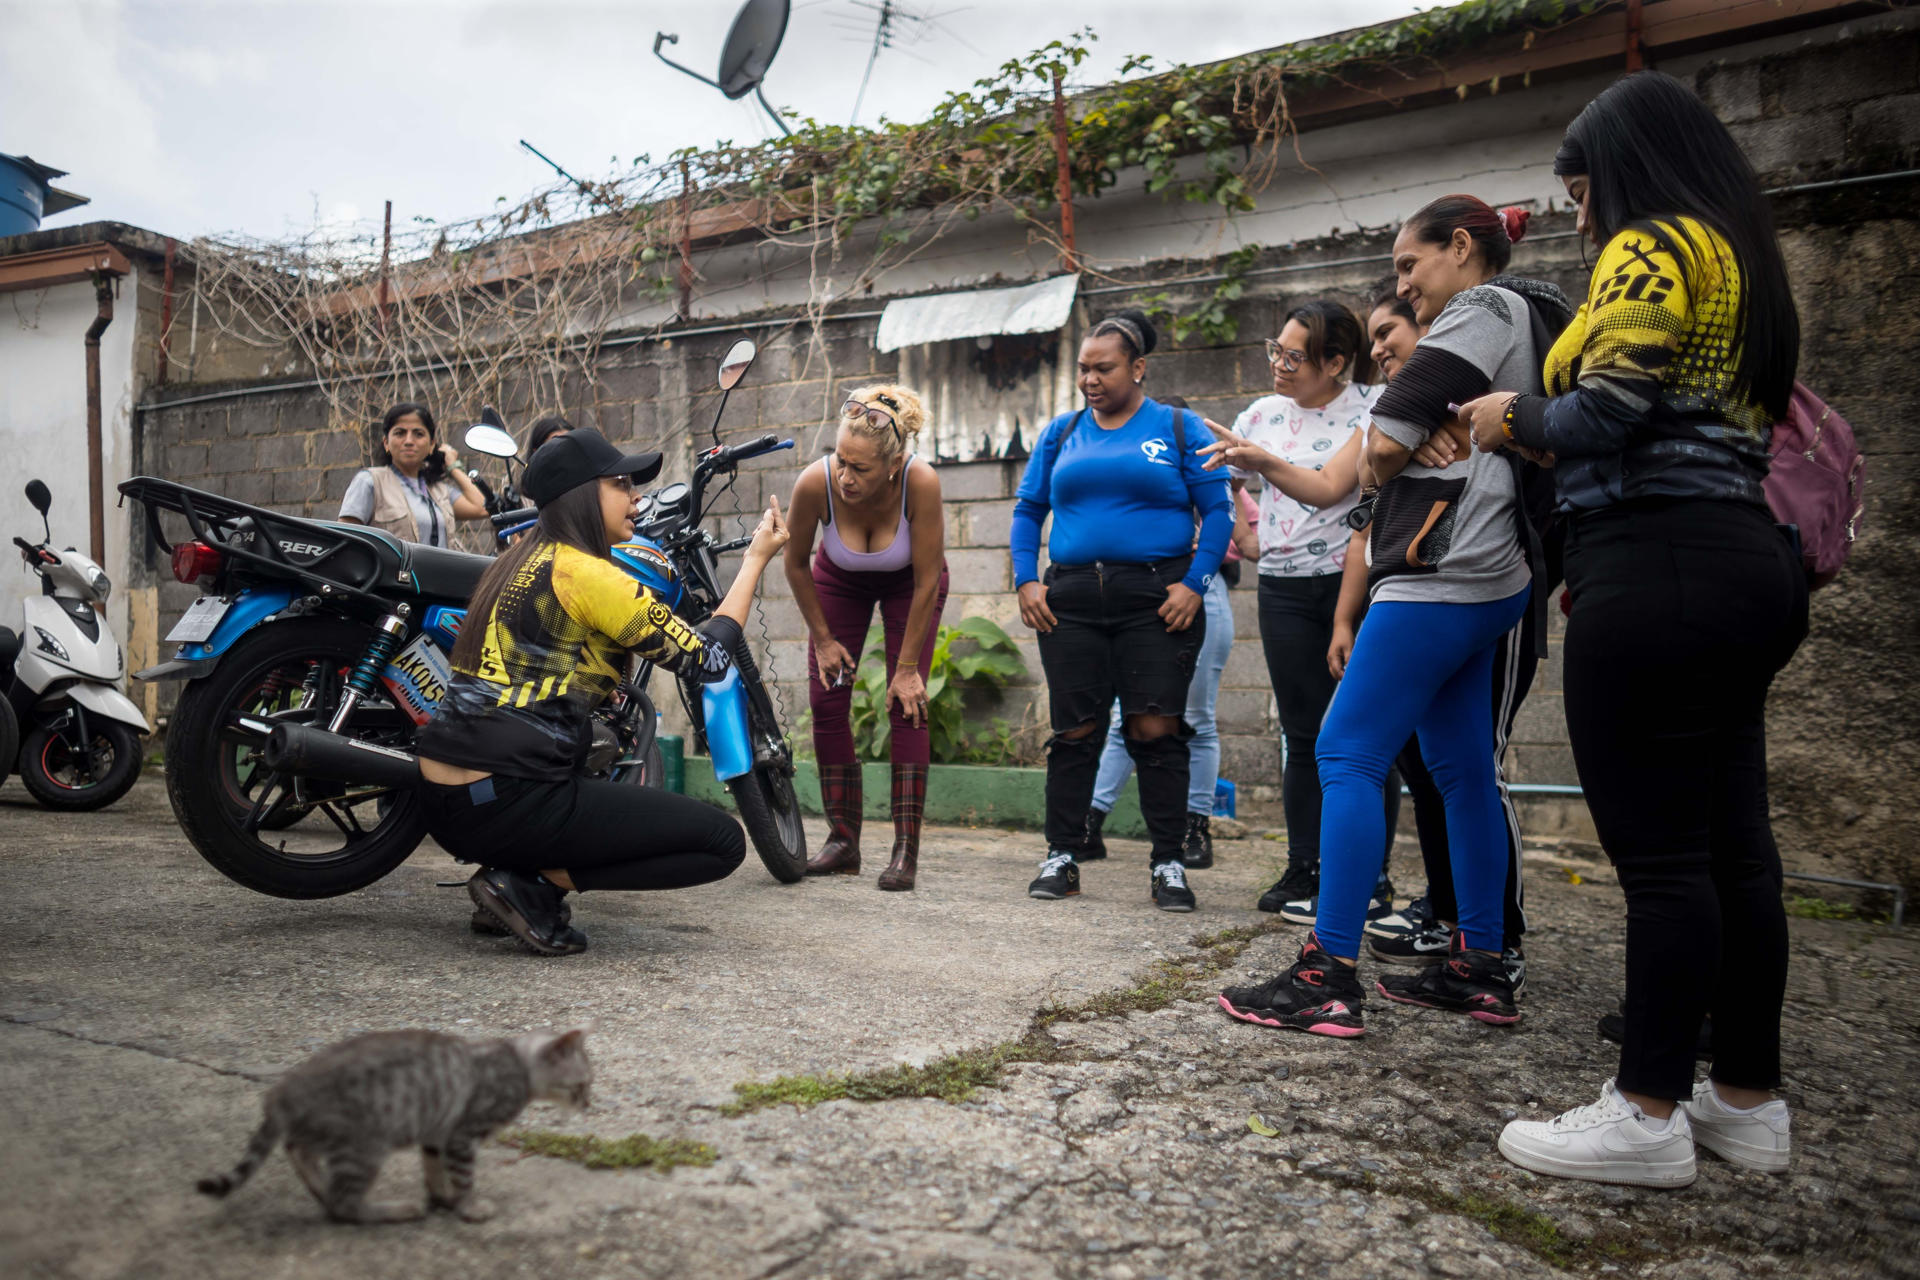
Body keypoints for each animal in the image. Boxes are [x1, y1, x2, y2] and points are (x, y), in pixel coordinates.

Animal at [195, 1028, 587, 1228]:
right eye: (581, 1085)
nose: (589, 1104)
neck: (516, 1062)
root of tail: (280, 1094)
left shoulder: (436, 1134)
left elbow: (433, 1169)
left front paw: (442, 1198)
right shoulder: (462, 1136)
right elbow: (463, 1178)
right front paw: (469, 1207)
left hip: (330, 1135)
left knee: (299, 1152)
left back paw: (319, 1189)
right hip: (364, 1147)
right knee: (344, 1204)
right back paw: (397, 1210)